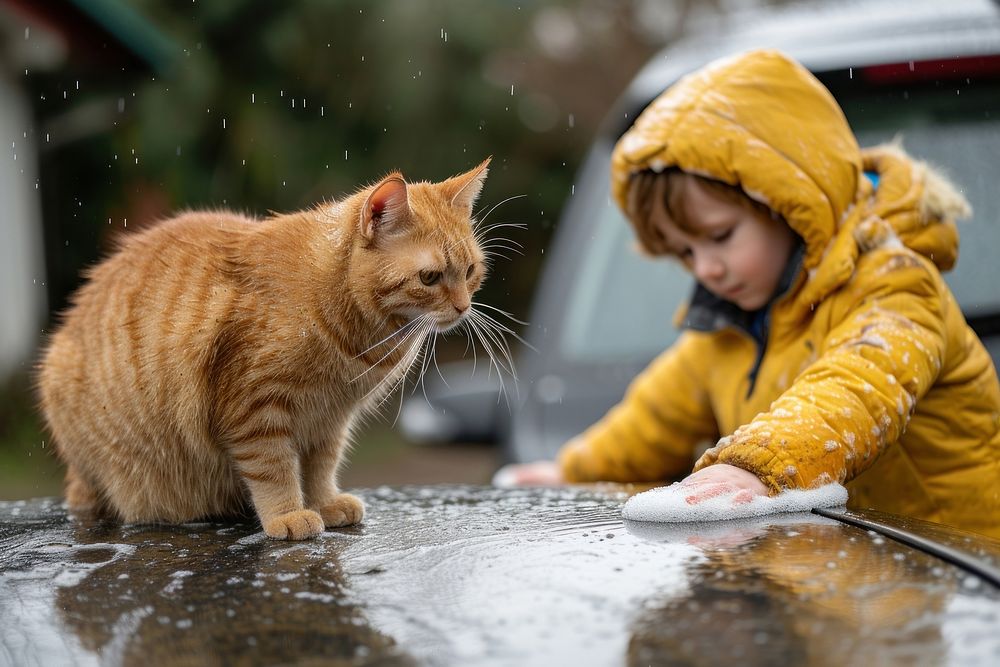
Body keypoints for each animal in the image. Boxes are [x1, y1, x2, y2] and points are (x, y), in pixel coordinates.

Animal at [40, 159, 492, 540]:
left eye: (470, 271)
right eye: (430, 278)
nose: (463, 307)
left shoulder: (329, 419)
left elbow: (320, 468)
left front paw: (325, 503)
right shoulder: (255, 411)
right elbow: (274, 470)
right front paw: (288, 515)